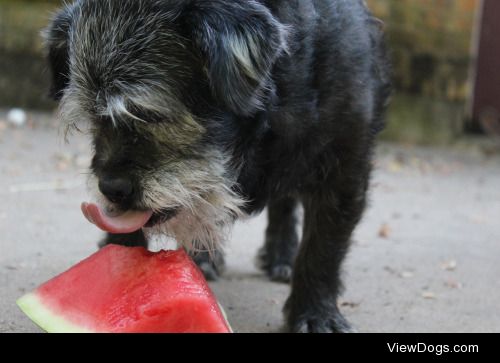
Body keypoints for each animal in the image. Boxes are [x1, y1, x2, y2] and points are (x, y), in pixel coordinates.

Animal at [45, 0, 392, 332]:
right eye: (95, 118)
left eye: (148, 115)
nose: (110, 189)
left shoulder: (345, 169)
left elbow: (323, 249)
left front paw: (316, 313)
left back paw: (280, 255)